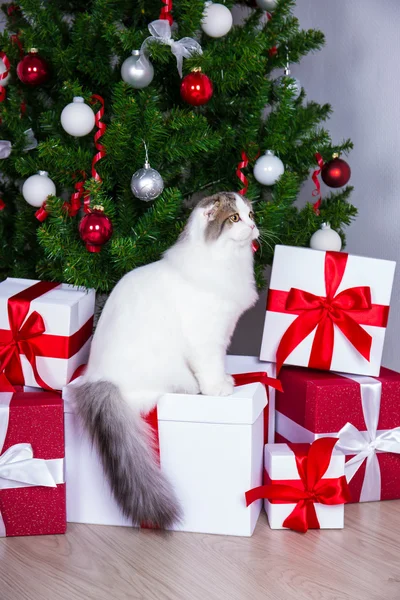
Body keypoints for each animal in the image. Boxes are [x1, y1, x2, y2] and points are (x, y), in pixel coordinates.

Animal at [72, 192, 260, 524]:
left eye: (250, 215)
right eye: (235, 218)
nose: (253, 226)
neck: (225, 262)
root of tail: (98, 379)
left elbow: (220, 364)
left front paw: (226, 379)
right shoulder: (207, 339)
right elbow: (211, 367)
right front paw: (219, 389)